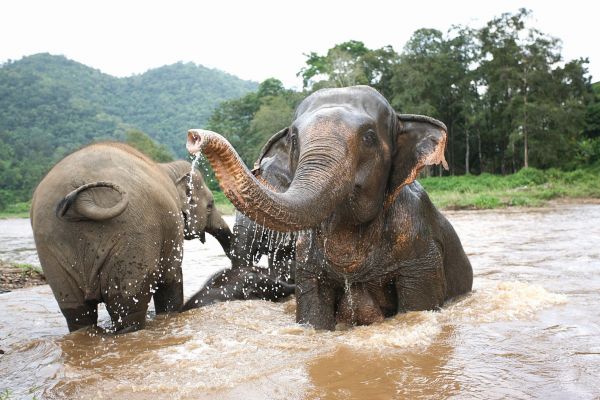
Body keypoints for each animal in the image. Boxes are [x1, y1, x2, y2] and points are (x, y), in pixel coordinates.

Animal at [30, 142, 233, 332]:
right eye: (210, 205)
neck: (168, 167)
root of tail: (84, 200)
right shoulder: (173, 228)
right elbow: (171, 277)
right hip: (134, 241)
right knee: (128, 307)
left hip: (51, 251)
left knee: (78, 314)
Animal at [188, 83, 474, 328]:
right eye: (294, 138)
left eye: (369, 137)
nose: (194, 137)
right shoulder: (306, 259)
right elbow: (313, 317)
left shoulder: (419, 246)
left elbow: (416, 309)